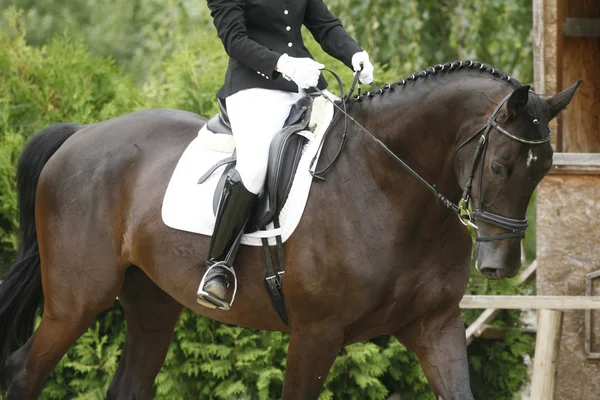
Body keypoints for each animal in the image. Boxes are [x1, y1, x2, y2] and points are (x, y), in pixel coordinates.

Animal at [0, 60, 580, 400]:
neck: (389, 184)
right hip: (77, 299)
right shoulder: (316, 333)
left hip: (152, 303)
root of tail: (80, 136)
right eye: (501, 165)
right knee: (24, 371)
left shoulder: (433, 325)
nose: (499, 265)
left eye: (545, 169)